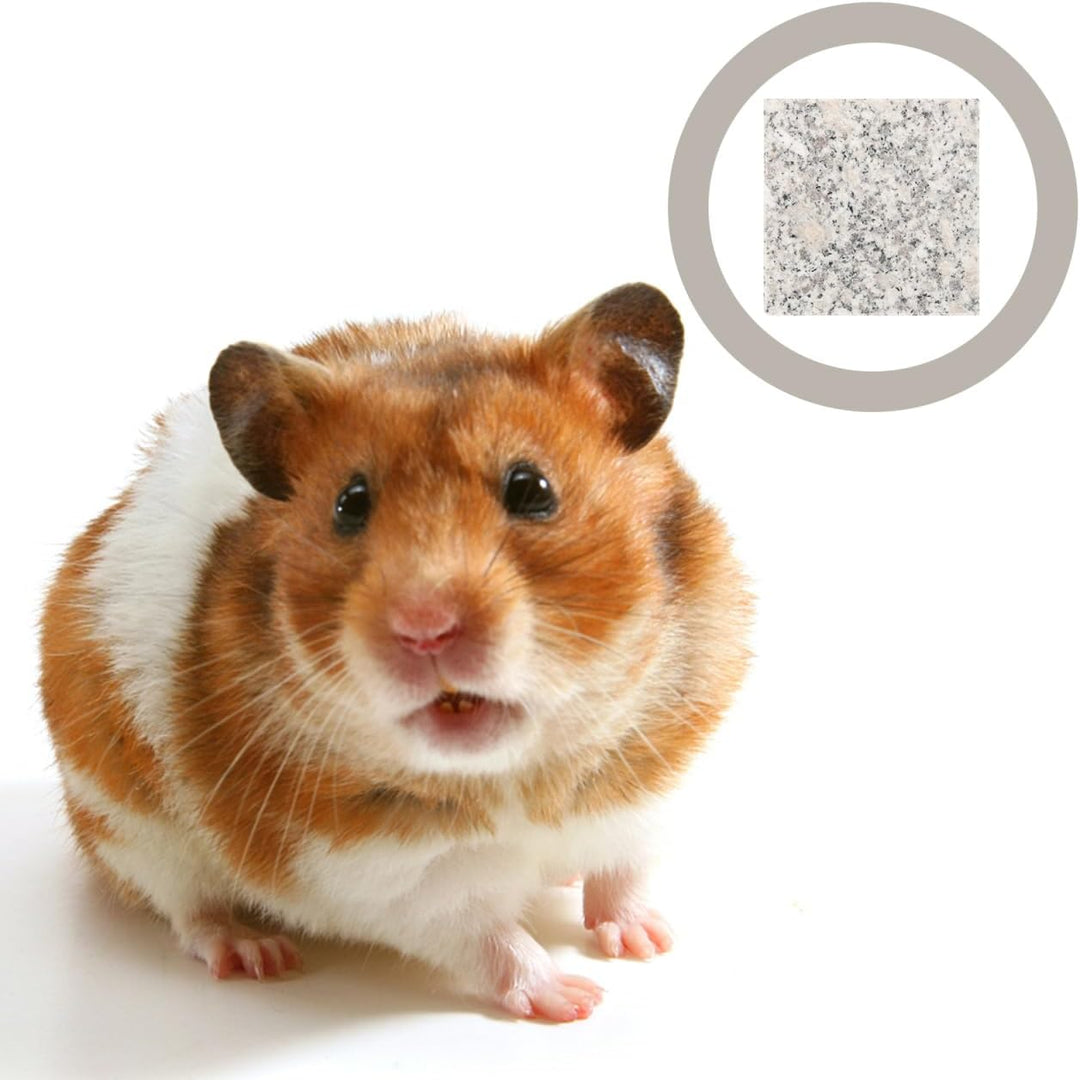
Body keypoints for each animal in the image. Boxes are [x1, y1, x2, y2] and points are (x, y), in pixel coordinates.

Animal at [38, 283, 752, 1022]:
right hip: (127, 823)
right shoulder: (389, 874)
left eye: (532, 489)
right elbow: (492, 939)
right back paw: (257, 953)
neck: (512, 773)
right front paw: (577, 1000)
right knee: (190, 910)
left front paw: (650, 944)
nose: (425, 628)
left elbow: (623, 876)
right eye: (349, 504)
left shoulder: (646, 790)